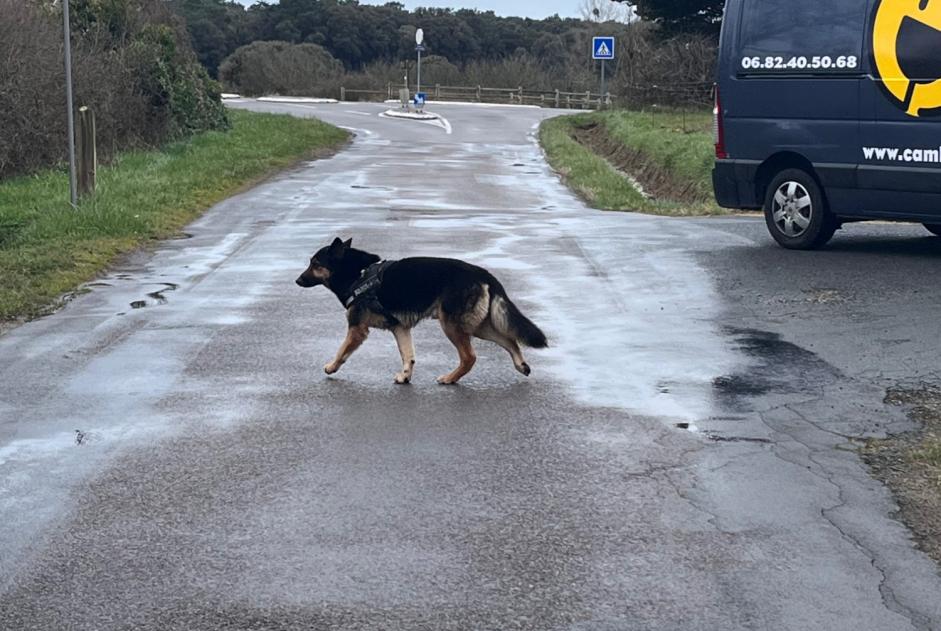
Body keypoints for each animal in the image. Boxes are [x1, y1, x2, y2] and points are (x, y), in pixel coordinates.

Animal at [292, 237, 544, 386]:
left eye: (315, 264)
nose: (297, 280)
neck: (358, 273)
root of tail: (484, 274)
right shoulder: (400, 328)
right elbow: (408, 356)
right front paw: (405, 376)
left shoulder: (357, 329)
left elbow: (342, 351)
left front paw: (331, 366)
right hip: (478, 327)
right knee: (510, 341)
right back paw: (521, 365)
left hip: (452, 326)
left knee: (469, 357)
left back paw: (450, 378)